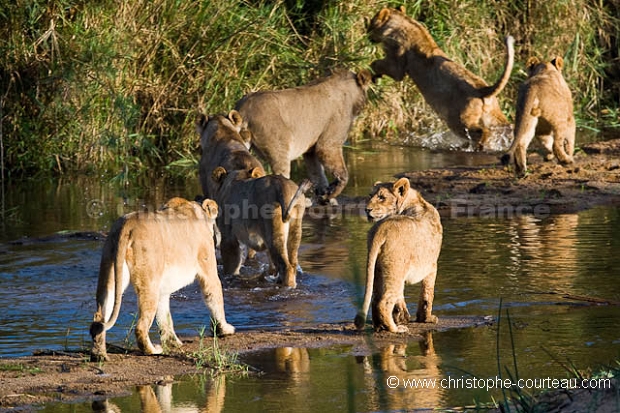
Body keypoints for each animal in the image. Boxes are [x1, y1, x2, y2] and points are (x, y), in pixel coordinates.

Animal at [91, 196, 236, 360]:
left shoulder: (163, 287)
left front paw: (173, 342)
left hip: (110, 273)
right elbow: (215, 296)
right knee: (140, 326)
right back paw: (153, 350)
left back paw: (99, 355)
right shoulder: (208, 270)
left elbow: (164, 315)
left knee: (99, 317)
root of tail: (127, 224)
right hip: (149, 282)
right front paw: (224, 329)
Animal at [234, 68, 370, 204]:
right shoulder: (328, 144)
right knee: (280, 175)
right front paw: (331, 194)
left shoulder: (311, 150)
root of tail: (244, 108)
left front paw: (324, 195)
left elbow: (318, 174)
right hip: (279, 147)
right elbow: (342, 174)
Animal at [354, 179, 440, 334]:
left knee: (376, 298)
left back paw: (380, 326)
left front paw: (403, 316)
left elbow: (401, 296)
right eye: (370, 195)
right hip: (396, 268)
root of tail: (382, 227)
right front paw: (427, 318)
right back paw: (395, 328)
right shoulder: (431, 265)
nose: (367, 210)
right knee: (384, 302)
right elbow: (428, 294)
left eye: (381, 197)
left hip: (378, 269)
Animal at [368, 6, 512, 150]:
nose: (367, 35)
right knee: (506, 127)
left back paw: (475, 146)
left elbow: (378, 64)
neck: (403, 23)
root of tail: (483, 90)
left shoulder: (397, 62)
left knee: (480, 132)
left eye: (371, 22)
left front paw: (371, 73)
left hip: (457, 119)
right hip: (494, 116)